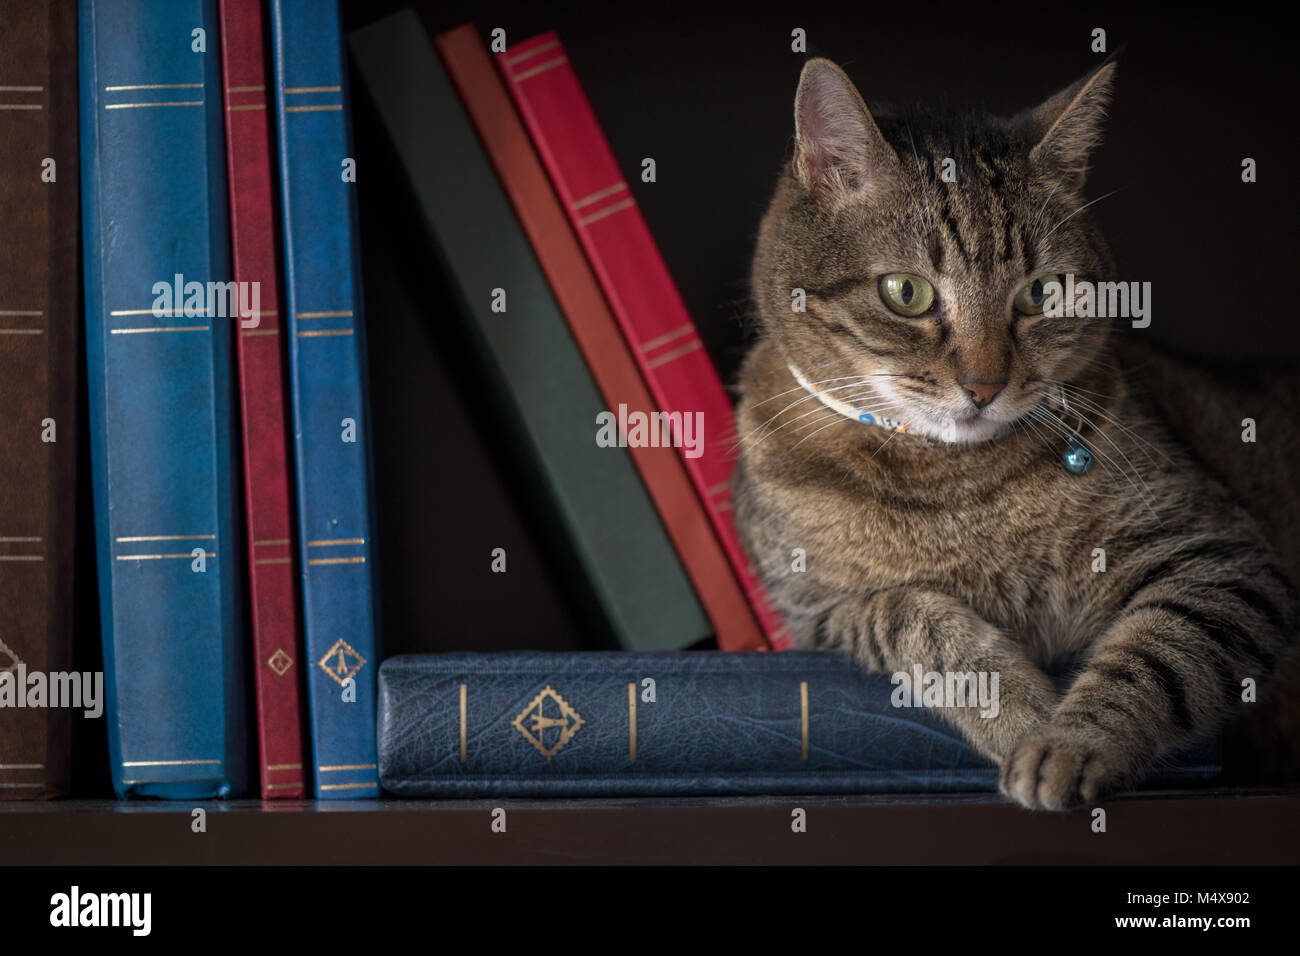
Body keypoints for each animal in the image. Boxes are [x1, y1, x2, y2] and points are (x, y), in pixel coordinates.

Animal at [738, 55, 1294, 811]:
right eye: (906, 292)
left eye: (1041, 293)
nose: (984, 385)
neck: (949, 483)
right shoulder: (818, 617)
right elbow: (915, 621)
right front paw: (1025, 714)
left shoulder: (1223, 557)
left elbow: (1155, 655)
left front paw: (1070, 743)